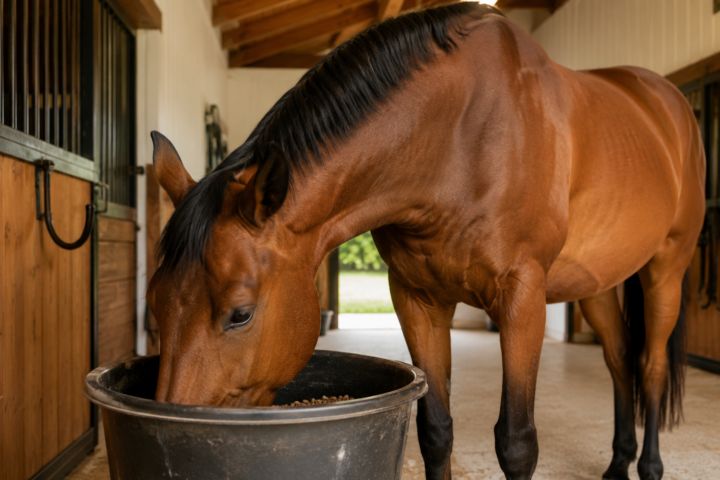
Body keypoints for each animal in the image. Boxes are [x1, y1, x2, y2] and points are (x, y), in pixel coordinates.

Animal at [145, 4, 705, 480]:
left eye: (240, 314)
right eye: (154, 302)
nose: (172, 430)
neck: (460, 138)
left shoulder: (522, 299)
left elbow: (517, 443)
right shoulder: (418, 298)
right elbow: (435, 431)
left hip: (666, 270)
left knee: (651, 367)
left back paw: (650, 467)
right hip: (599, 285)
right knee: (620, 362)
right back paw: (617, 463)